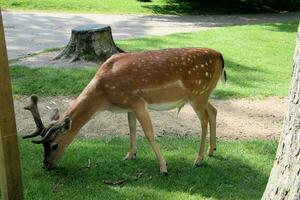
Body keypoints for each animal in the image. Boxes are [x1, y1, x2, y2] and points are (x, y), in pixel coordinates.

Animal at [23, 47, 225, 175]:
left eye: (54, 145)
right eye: (43, 146)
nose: (46, 165)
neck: (104, 96)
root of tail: (220, 56)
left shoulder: (138, 101)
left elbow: (149, 133)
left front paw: (163, 167)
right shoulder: (129, 106)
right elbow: (132, 129)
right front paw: (130, 155)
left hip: (198, 94)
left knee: (204, 121)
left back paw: (198, 160)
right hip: (204, 94)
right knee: (214, 111)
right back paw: (212, 150)